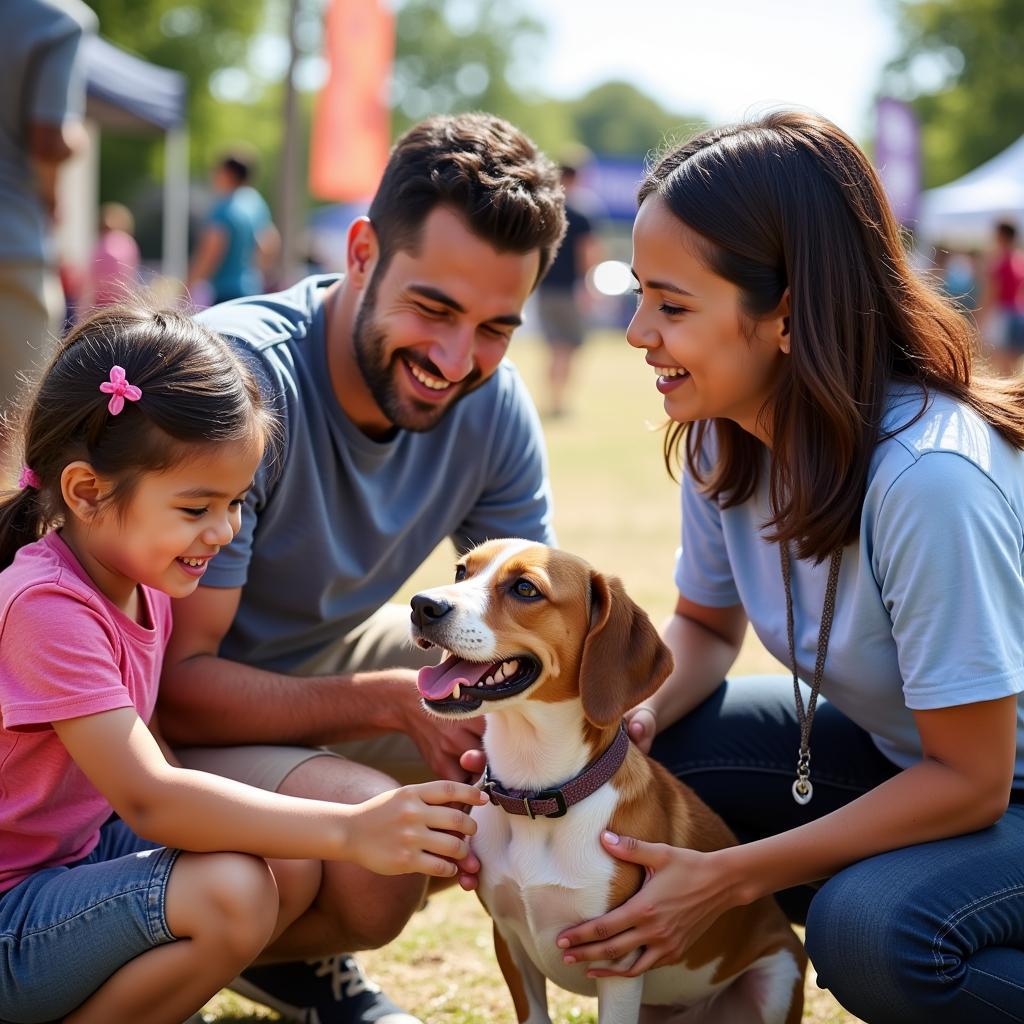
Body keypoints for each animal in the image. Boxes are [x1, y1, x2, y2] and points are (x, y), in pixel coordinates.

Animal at [409, 540, 806, 1019]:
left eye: (525, 588)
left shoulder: (620, 962)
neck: (536, 795)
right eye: (461, 571)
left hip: (776, 980)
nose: (422, 605)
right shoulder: (509, 941)